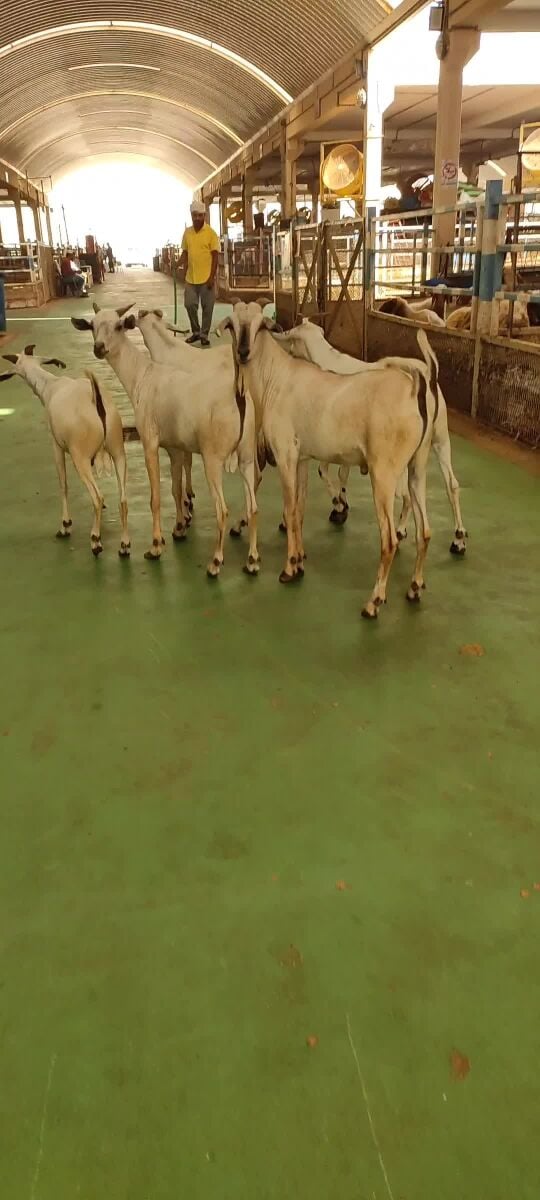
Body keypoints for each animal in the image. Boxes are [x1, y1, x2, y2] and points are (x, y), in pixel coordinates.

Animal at [0, 345, 129, 556]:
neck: (49, 386)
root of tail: (97, 401)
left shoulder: (56, 445)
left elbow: (63, 484)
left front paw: (65, 525)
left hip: (80, 456)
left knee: (96, 497)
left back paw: (95, 540)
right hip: (118, 451)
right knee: (123, 500)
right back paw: (124, 545)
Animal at [71, 305, 259, 576]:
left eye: (118, 326)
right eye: (92, 326)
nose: (99, 348)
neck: (142, 376)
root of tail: (240, 396)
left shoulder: (150, 441)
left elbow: (156, 498)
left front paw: (156, 546)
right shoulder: (175, 447)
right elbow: (175, 489)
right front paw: (180, 528)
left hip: (213, 458)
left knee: (222, 510)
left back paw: (215, 563)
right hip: (246, 455)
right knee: (253, 506)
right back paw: (252, 561)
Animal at [222, 302, 439, 619]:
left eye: (261, 325)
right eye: (232, 325)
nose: (243, 351)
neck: (275, 379)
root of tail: (414, 391)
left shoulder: (285, 455)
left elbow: (289, 509)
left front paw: (288, 569)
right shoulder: (301, 459)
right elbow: (298, 511)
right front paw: (300, 560)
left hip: (384, 474)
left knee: (389, 541)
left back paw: (373, 602)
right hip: (417, 467)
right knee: (425, 531)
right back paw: (414, 588)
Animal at [277, 320, 467, 555]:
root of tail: (428, 376)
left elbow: (325, 472)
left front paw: (338, 506)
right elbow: (341, 474)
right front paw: (342, 504)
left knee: (406, 494)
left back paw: (401, 530)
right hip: (440, 439)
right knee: (451, 485)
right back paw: (458, 539)